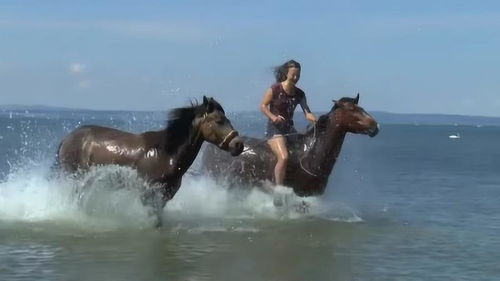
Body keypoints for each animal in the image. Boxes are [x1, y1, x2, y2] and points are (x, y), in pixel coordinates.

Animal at [56, 96, 244, 221]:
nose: (238, 145)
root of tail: (66, 139)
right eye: (219, 120)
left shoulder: (165, 197)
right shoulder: (149, 195)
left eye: (227, 119)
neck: (166, 153)